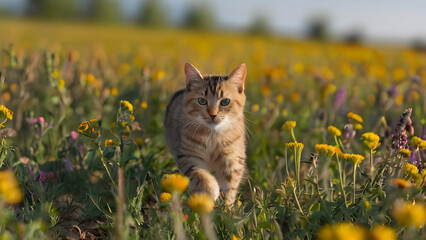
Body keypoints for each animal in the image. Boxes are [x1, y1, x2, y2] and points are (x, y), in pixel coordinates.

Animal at [165, 62, 248, 204]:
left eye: (225, 101)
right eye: (202, 101)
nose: (213, 115)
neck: (213, 135)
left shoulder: (233, 161)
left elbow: (229, 187)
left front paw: (226, 206)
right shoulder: (188, 156)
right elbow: (199, 174)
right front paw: (209, 190)